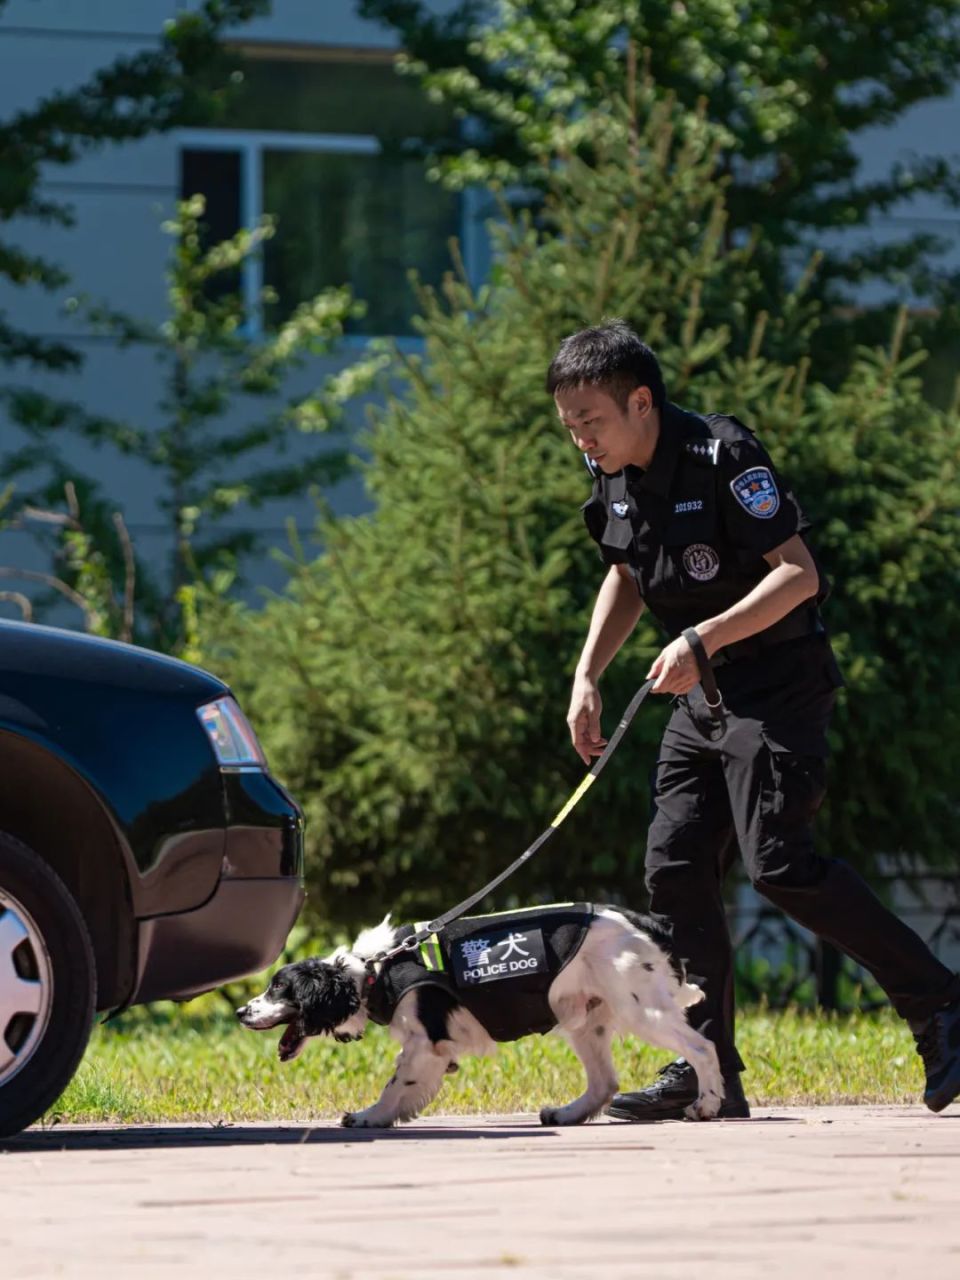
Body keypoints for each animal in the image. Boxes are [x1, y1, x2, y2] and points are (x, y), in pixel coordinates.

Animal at [236, 901, 727, 1131]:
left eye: (278, 988)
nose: (241, 1011)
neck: (375, 970)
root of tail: (644, 923)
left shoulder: (425, 1044)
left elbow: (394, 1086)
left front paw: (370, 1117)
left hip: (641, 1007)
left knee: (703, 1047)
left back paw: (706, 1104)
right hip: (586, 1018)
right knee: (604, 1082)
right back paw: (567, 1114)